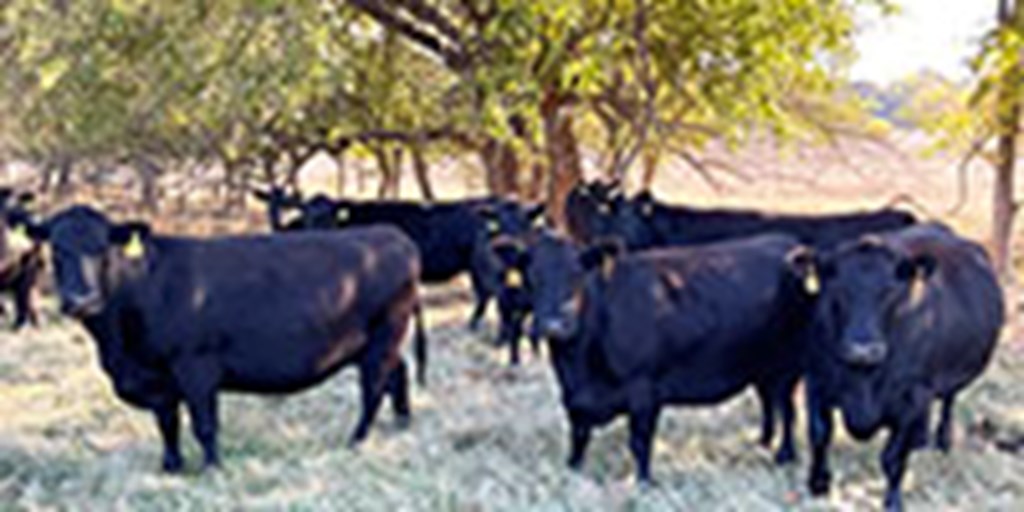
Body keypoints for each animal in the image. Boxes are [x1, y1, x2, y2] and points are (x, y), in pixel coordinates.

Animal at [28, 206, 425, 471]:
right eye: (55, 250)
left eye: (102, 249)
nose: (81, 300)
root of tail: (392, 235)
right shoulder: (156, 379)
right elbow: (167, 424)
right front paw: (171, 467)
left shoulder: (195, 366)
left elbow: (204, 424)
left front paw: (212, 468)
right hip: (377, 343)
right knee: (399, 374)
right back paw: (402, 424)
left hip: (385, 336)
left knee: (374, 388)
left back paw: (356, 440)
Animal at [524, 234, 819, 481]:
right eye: (532, 277)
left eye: (577, 275)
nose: (553, 324)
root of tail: (788, 243)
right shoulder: (572, 396)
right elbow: (578, 435)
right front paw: (572, 468)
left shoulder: (643, 389)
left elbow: (640, 441)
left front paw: (644, 482)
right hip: (762, 367)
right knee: (769, 402)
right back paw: (762, 442)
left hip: (788, 366)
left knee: (787, 409)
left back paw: (784, 455)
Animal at [798, 225, 999, 512]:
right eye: (837, 291)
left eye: (890, 292)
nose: (863, 349)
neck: (864, 380)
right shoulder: (816, 380)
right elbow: (819, 434)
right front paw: (818, 484)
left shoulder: (912, 397)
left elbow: (893, 457)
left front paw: (893, 501)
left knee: (948, 402)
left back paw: (941, 441)